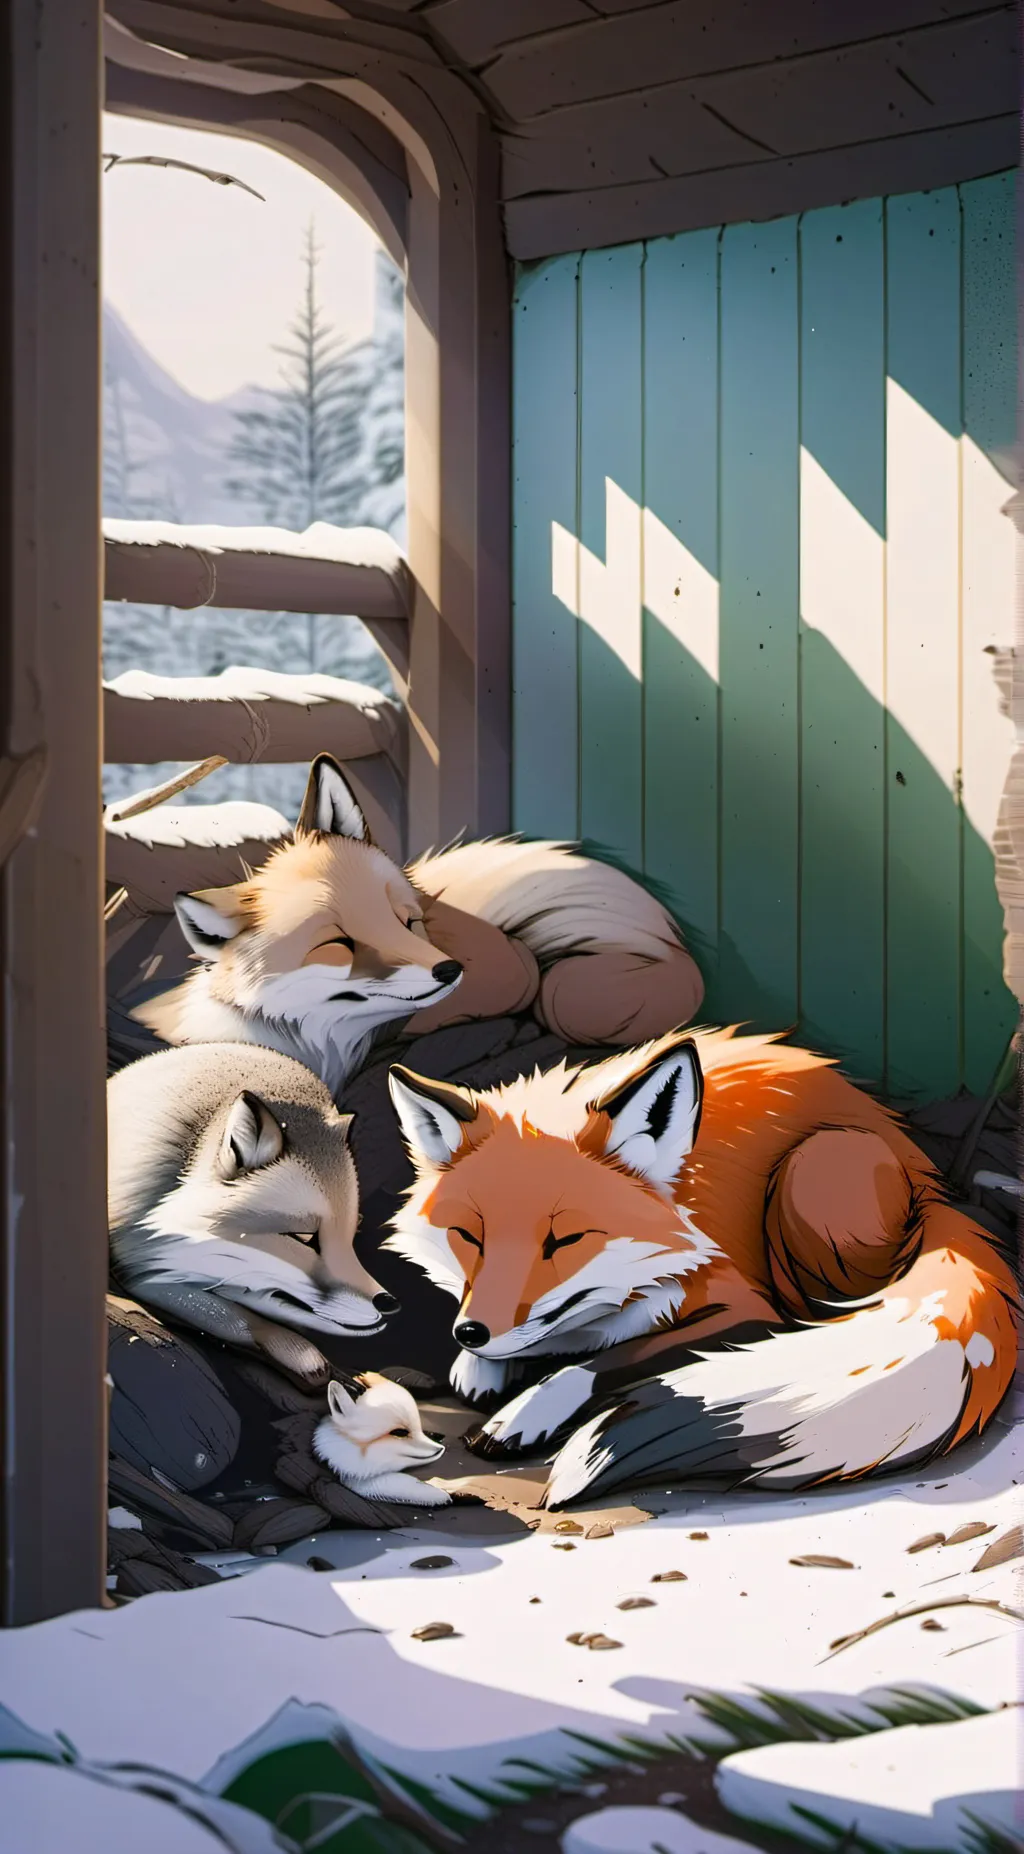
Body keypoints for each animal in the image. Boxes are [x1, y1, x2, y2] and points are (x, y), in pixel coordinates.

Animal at [108, 1042, 398, 1385]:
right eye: (304, 1237)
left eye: (350, 1237)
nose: (388, 1303)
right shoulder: (138, 1264)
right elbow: (235, 1317)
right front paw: (299, 1351)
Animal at [384, 1027, 1020, 1506]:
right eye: (470, 1236)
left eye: (564, 1240)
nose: (471, 1331)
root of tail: (927, 1170)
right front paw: (482, 1366)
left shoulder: (745, 1309)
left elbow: (598, 1363)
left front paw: (524, 1409)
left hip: (808, 1175)